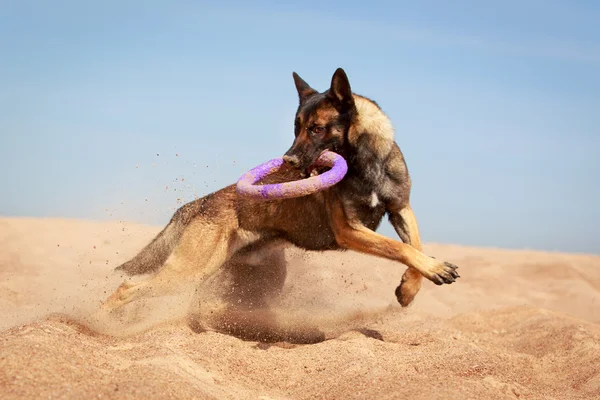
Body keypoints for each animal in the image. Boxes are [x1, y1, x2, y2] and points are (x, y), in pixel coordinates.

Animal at [103, 68, 460, 312]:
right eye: (296, 128)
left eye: (316, 128)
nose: (288, 159)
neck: (363, 161)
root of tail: (202, 202)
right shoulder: (349, 229)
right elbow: (398, 248)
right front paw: (435, 268)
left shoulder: (401, 209)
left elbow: (413, 246)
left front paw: (412, 286)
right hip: (189, 270)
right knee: (124, 288)